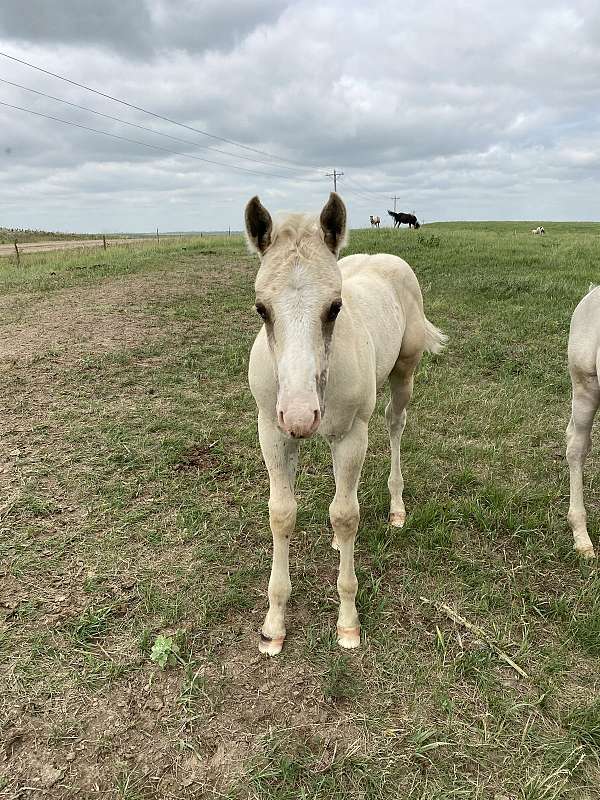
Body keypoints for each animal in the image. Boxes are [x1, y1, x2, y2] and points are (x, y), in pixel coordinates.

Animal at [245, 192, 447, 655]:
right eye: (262, 308)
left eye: (335, 307)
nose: (300, 415)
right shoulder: (273, 431)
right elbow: (282, 514)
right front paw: (273, 625)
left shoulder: (352, 434)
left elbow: (346, 514)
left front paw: (348, 622)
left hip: (403, 375)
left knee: (395, 426)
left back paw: (396, 507)